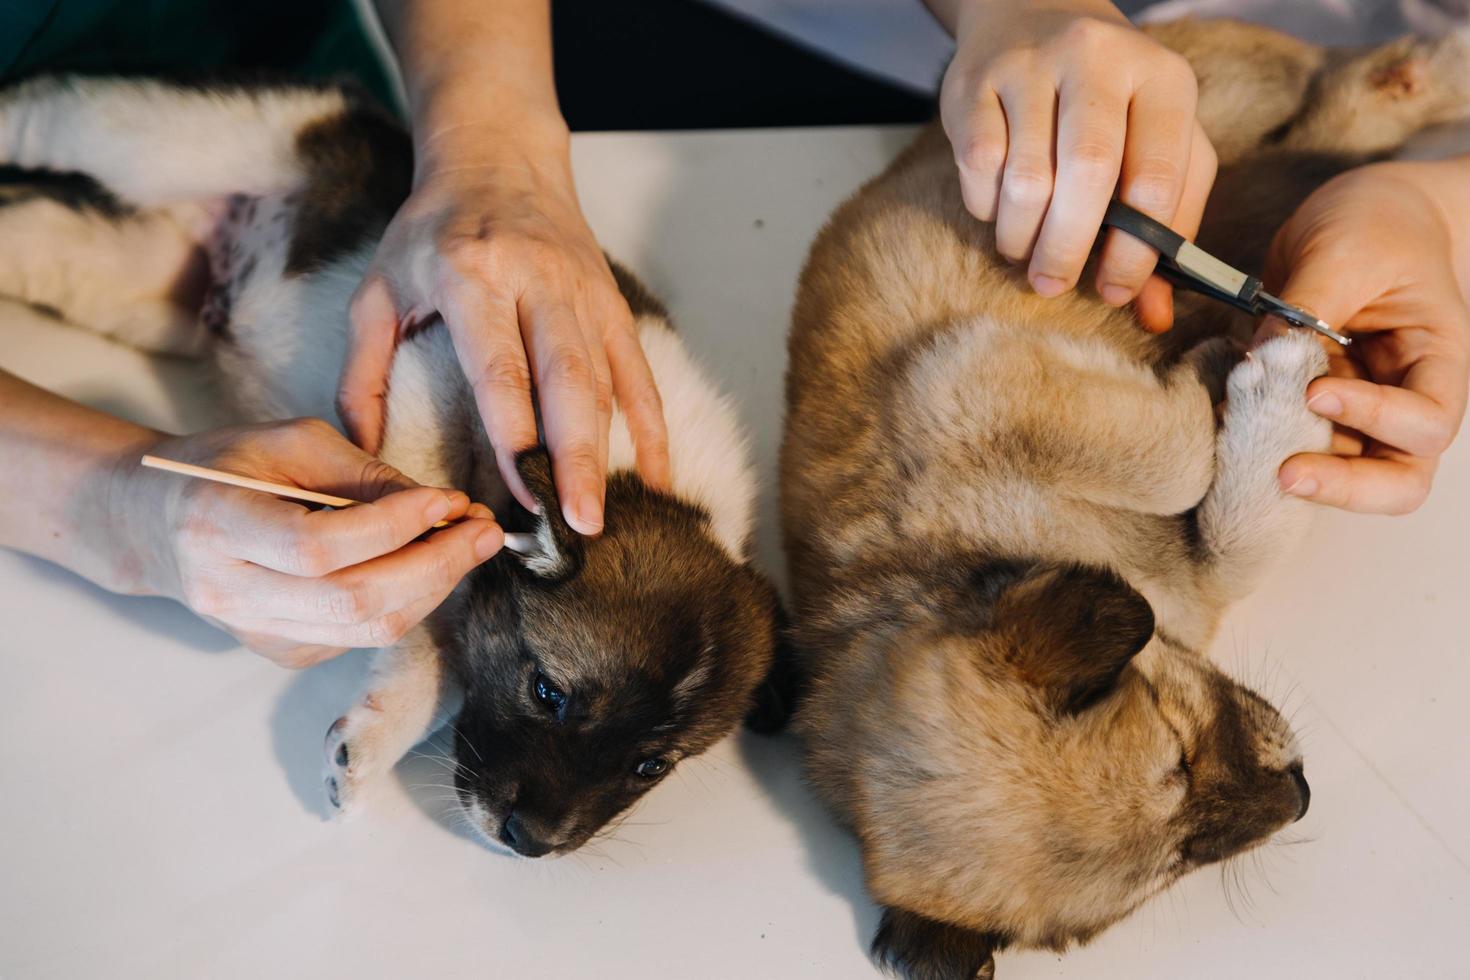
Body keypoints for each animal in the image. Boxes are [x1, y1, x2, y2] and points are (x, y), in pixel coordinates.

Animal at [0, 78, 782, 858]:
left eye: (650, 765)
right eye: (548, 694)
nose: (529, 843)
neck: (636, 482)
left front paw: (377, 733)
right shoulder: (429, 359)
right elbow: (437, 588)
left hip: (147, 290)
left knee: (39, 237)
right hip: (187, 143)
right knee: (61, 114)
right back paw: (19, 117)